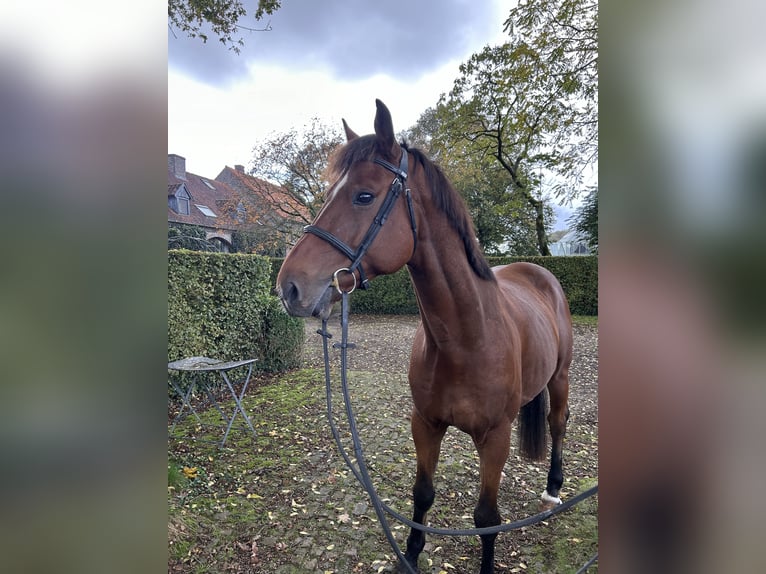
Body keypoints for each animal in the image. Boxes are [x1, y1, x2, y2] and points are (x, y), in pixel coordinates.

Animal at [280, 100, 572, 574]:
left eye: (364, 195)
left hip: (560, 378)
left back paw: (553, 488)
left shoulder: (495, 437)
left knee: (558, 423)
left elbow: (486, 518)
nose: (288, 287)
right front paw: (411, 555)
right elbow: (422, 494)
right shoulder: (425, 424)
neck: (465, 340)